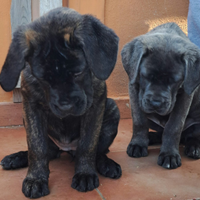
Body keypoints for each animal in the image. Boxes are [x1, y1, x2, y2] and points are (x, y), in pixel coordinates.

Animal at [0, 7, 122, 198]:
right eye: (43, 79)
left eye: (78, 72)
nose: (66, 107)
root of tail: (65, 149)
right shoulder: (31, 107)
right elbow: (37, 147)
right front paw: (36, 179)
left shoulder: (95, 105)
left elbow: (88, 144)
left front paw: (85, 173)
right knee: (49, 151)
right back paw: (17, 158)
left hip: (112, 109)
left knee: (98, 151)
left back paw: (106, 164)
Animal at [121, 23, 200, 170]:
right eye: (146, 76)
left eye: (174, 81)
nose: (156, 103)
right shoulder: (134, 87)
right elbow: (139, 121)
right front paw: (138, 144)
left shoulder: (185, 95)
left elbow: (173, 126)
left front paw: (169, 154)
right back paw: (151, 137)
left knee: (193, 135)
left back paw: (194, 147)